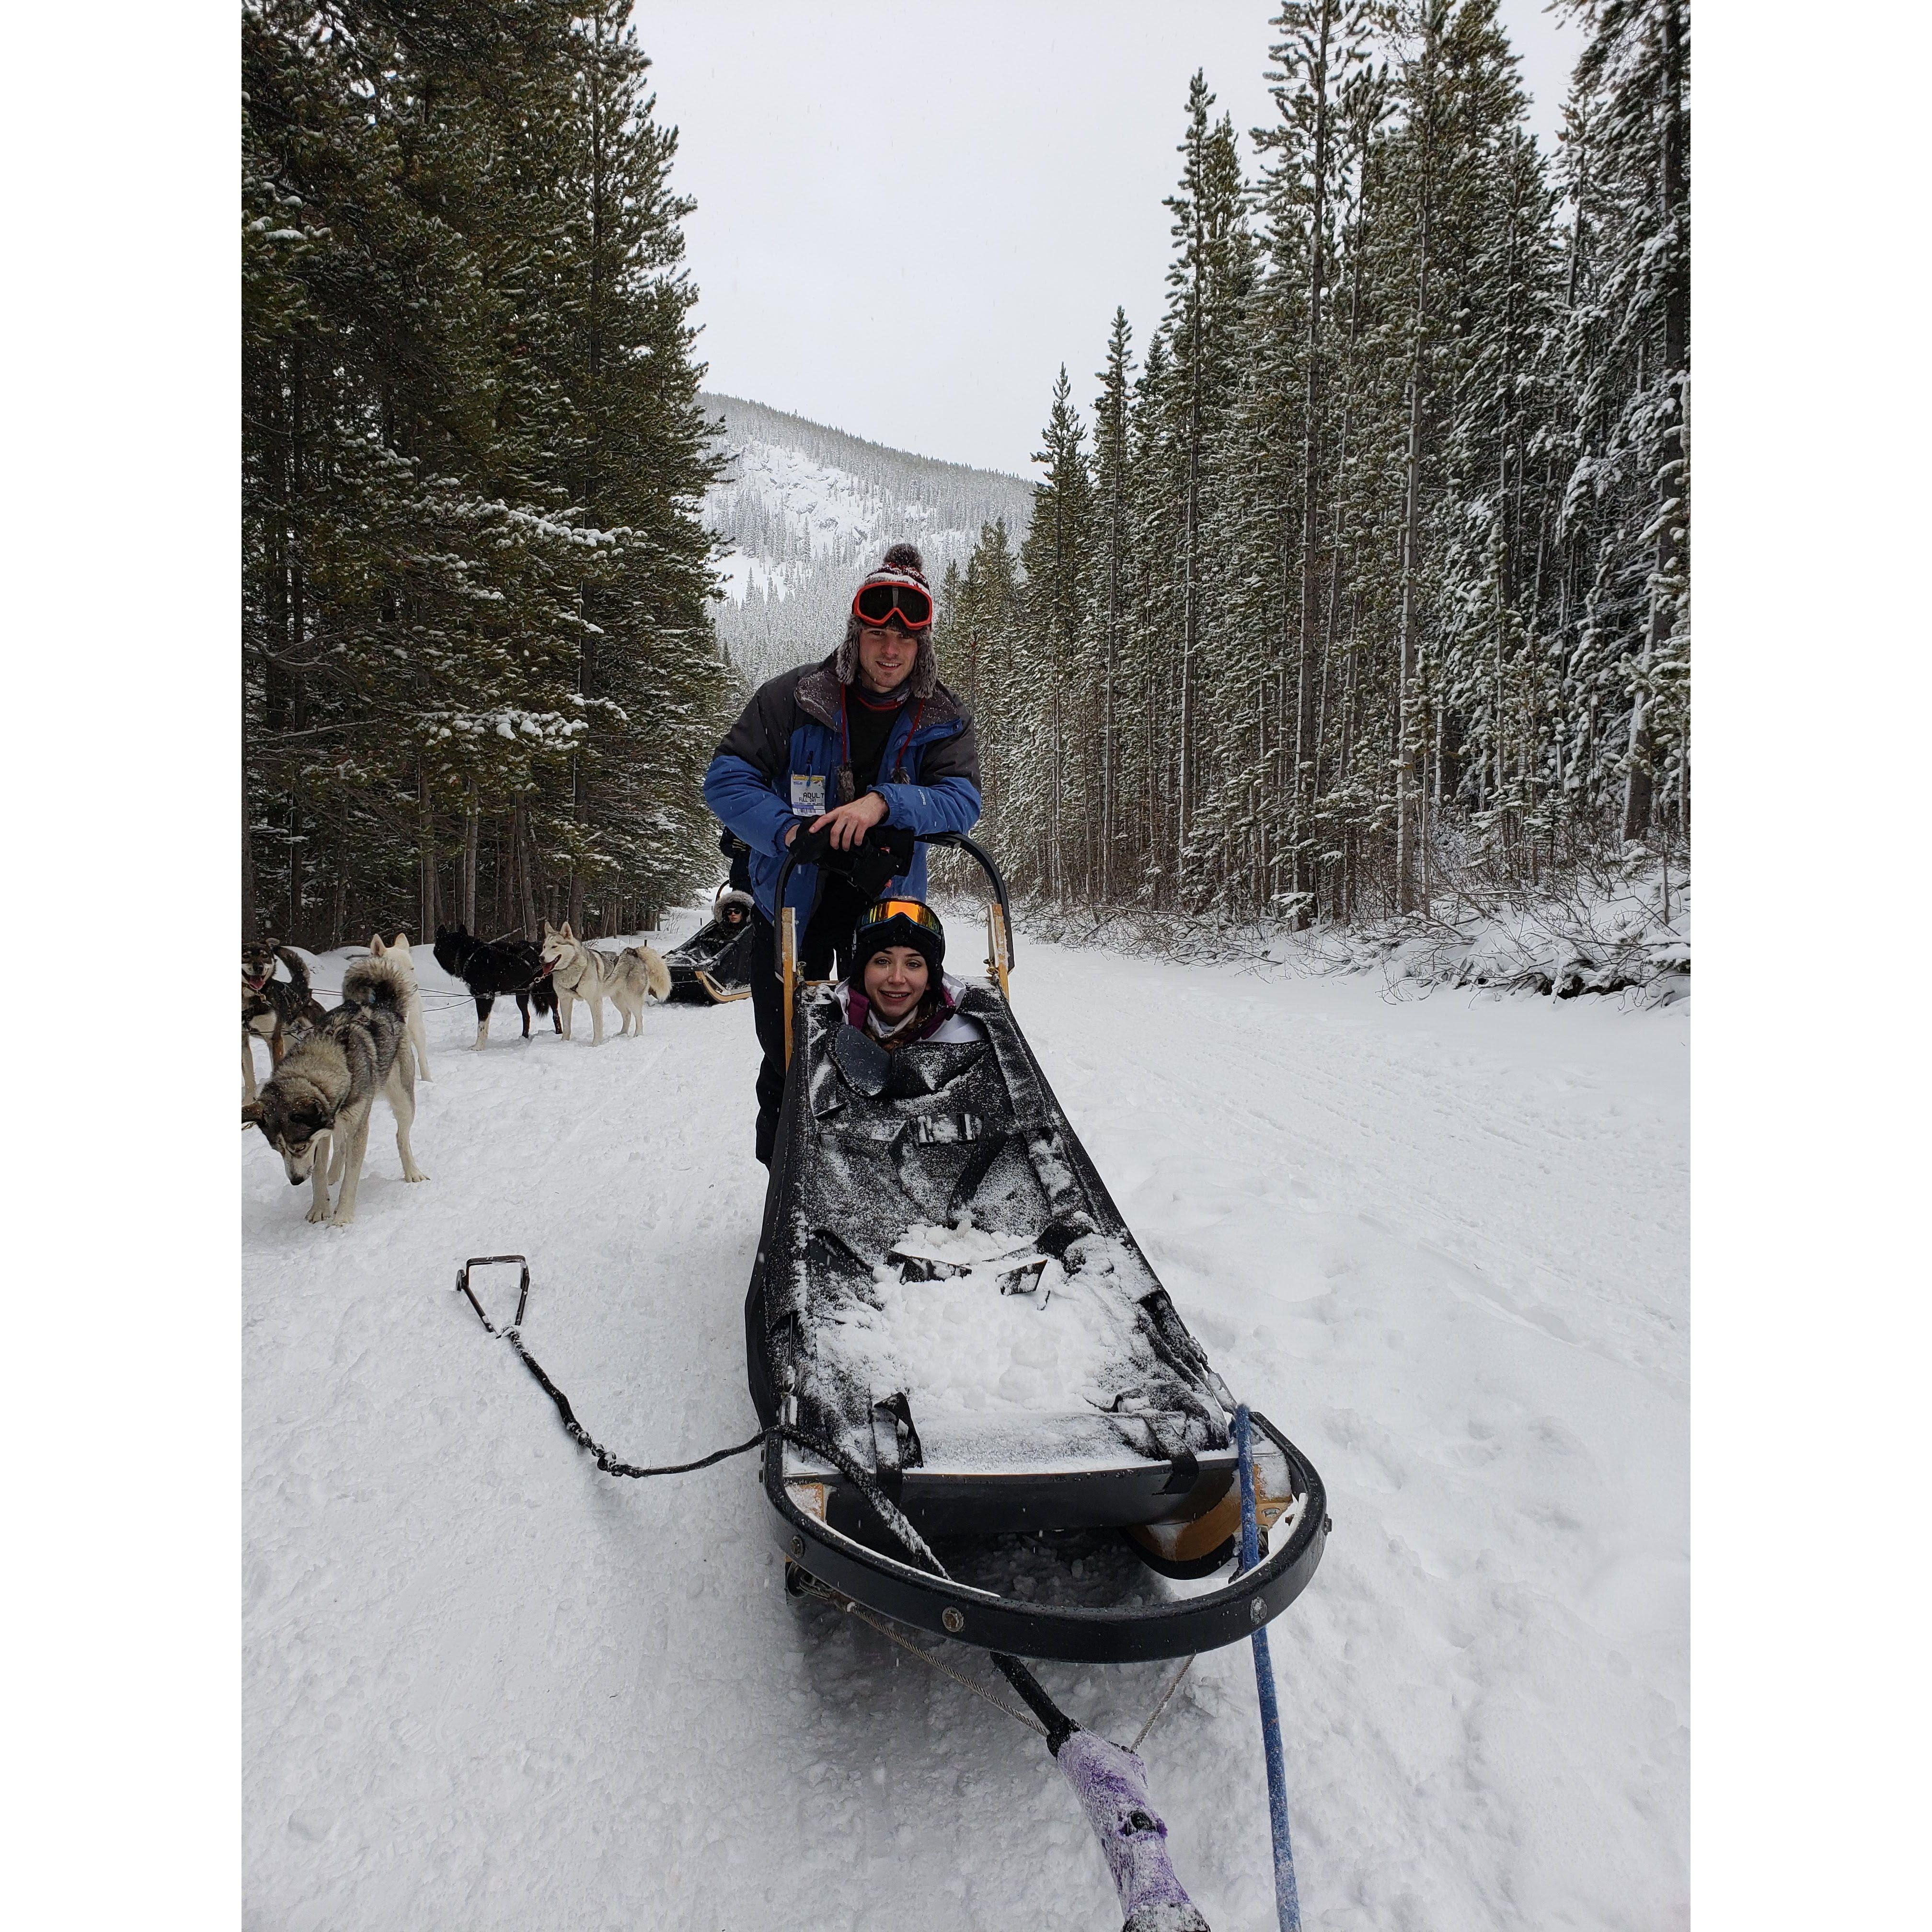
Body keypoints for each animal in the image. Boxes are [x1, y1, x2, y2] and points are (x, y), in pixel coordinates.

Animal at [243, 939, 326, 1105]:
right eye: (246, 956)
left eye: (265, 956)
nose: (259, 968)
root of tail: (300, 986)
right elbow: (249, 1078)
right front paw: (247, 1102)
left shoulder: (274, 1039)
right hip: (288, 1039)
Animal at [431, 923, 560, 1051]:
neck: (468, 955)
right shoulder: (488, 998)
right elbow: (485, 1025)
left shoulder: (484, 998)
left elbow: (481, 1026)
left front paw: (478, 1047)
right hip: (521, 995)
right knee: (526, 1017)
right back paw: (523, 1039)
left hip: (549, 992)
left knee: (556, 1015)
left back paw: (559, 1034)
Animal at [537, 920, 672, 1043]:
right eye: (544, 947)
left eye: (554, 947)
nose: (541, 958)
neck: (571, 970)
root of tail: (635, 952)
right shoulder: (565, 1001)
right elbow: (566, 1027)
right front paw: (564, 1042)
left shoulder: (595, 1001)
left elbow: (597, 1027)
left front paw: (596, 1045)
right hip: (617, 999)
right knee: (627, 1015)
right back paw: (622, 1035)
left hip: (632, 999)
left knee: (639, 1017)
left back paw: (637, 1036)